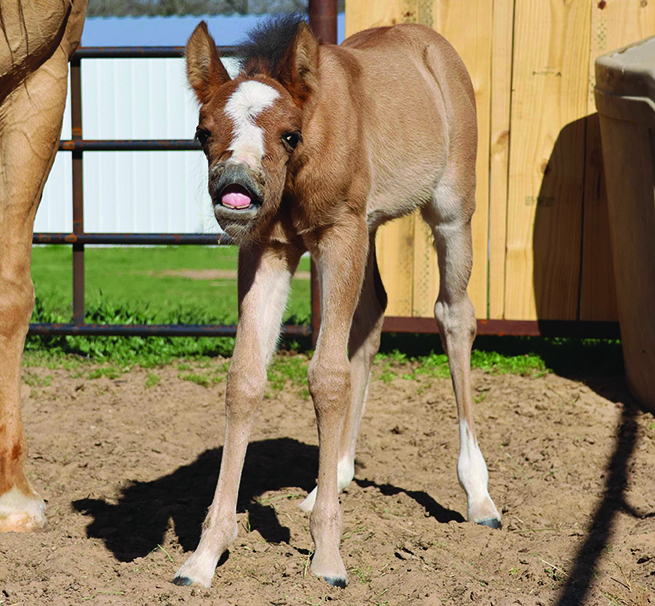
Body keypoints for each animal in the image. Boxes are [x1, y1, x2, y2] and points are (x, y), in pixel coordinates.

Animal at [175, 15, 501, 589]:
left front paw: (327, 557)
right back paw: (338, 474)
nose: (236, 190)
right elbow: (246, 378)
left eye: (289, 133)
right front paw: (205, 555)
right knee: (370, 319)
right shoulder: (267, 248)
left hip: (450, 209)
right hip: (369, 226)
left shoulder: (338, 234)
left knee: (454, 316)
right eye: (202, 132)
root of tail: (428, 41)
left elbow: (326, 376)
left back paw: (477, 495)